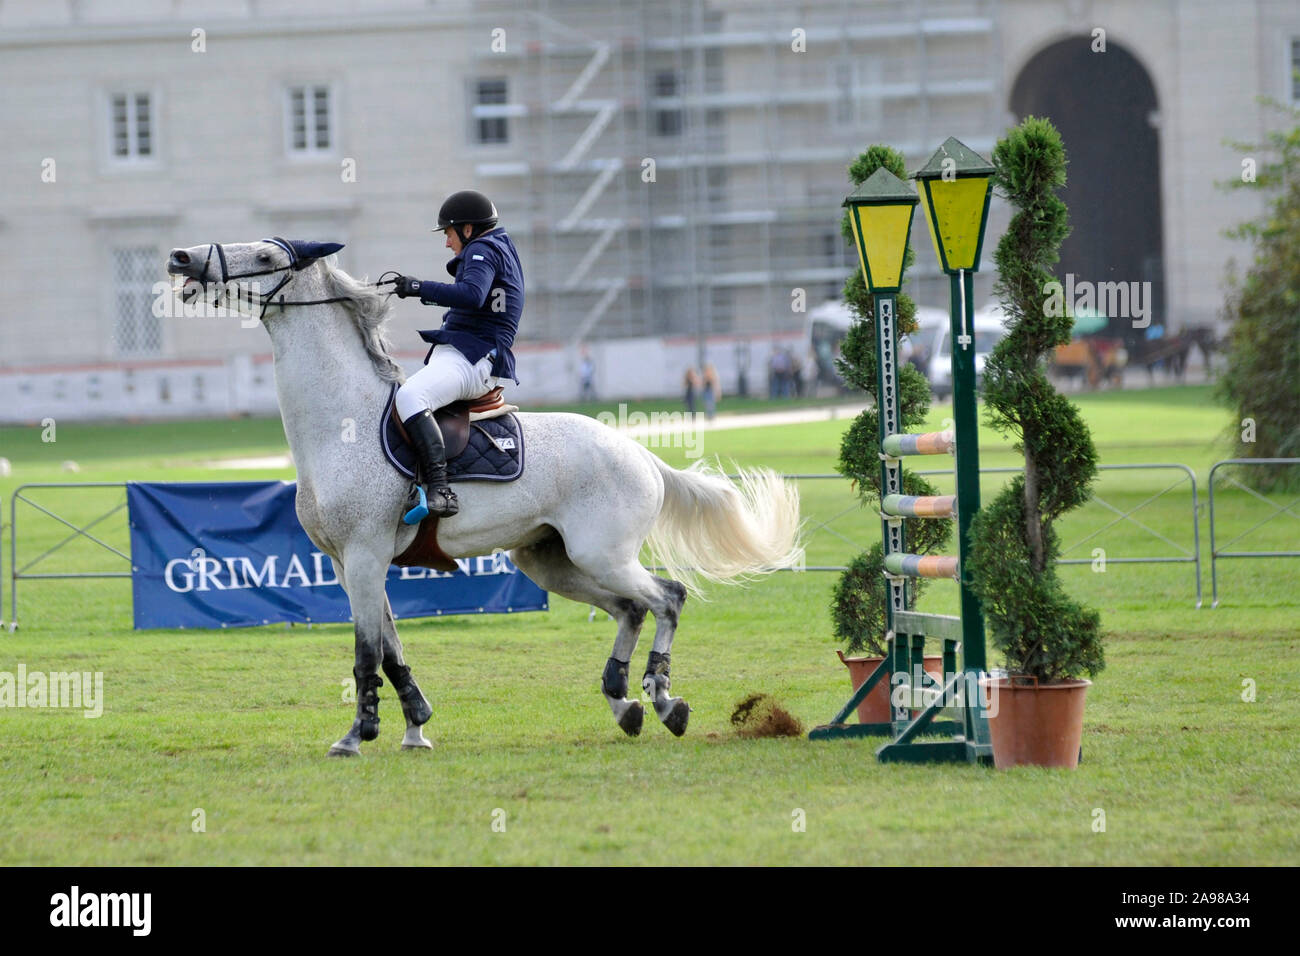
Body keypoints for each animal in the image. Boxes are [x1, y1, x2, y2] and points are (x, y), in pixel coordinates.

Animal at [163, 239, 800, 754]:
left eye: (265, 256)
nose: (182, 258)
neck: (341, 425)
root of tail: (640, 454)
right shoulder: (349, 564)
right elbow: (390, 649)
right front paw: (415, 726)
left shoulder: (366, 557)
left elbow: (367, 652)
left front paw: (356, 735)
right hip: (550, 562)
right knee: (632, 608)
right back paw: (626, 705)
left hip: (602, 555)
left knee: (668, 598)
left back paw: (664, 699)